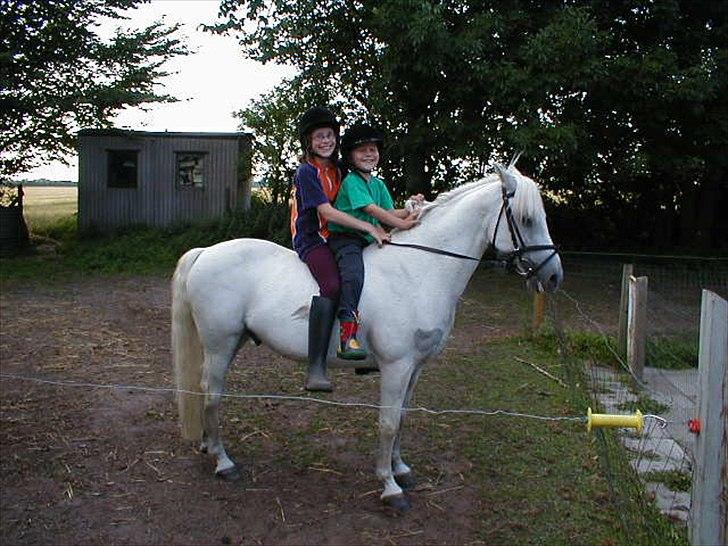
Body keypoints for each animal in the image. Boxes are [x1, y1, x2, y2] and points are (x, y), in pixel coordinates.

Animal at [172, 164, 564, 508]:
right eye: (527, 219)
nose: (553, 276)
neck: (420, 270)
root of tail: (206, 252)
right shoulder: (396, 366)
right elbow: (388, 423)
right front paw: (390, 487)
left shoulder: (415, 367)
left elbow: (403, 417)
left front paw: (401, 469)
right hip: (220, 344)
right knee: (211, 394)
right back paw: (223, 462)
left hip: (232, 341)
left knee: (204, 391)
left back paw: (208, 446)